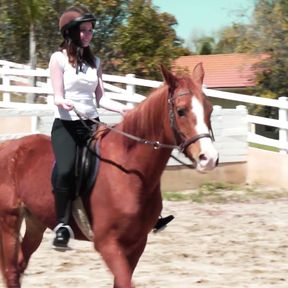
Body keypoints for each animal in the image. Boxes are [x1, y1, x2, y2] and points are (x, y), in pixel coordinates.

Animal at [0, 64, 218, 286]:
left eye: (209, 110)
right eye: (181, 111)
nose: (208, 158)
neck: (129, 171)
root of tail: (8, 146)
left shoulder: (137, 243)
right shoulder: (107, 244)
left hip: (36, 222)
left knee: (20, 264)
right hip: (9, 221)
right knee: (11, 270)